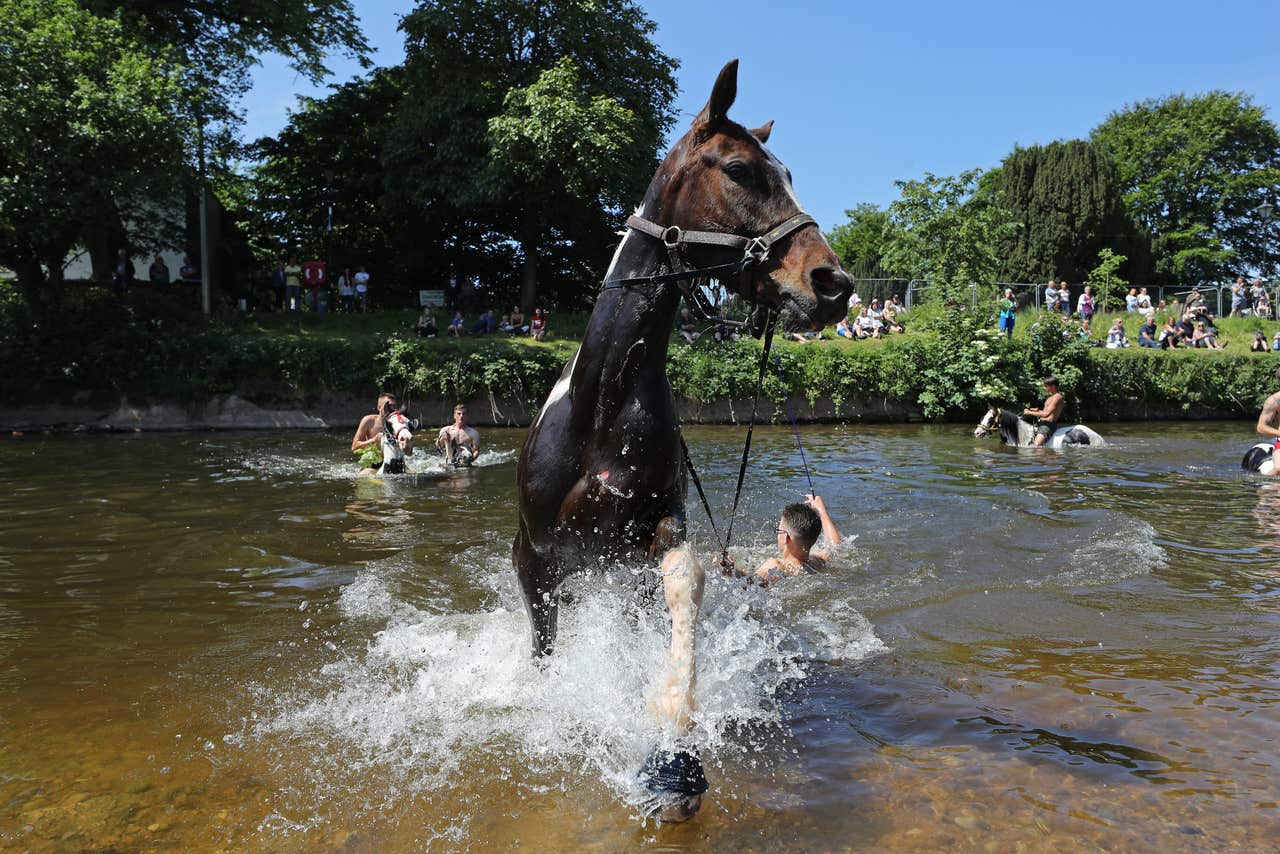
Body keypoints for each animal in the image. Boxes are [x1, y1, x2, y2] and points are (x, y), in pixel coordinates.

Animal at [509, 60, 849, 819]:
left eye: (789, 173)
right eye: (741, 169)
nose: (833, 284)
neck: (603, 405)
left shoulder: (660, 530)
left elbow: (686, 588)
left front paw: (673, 742)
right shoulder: (537, 558)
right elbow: (544, 652)